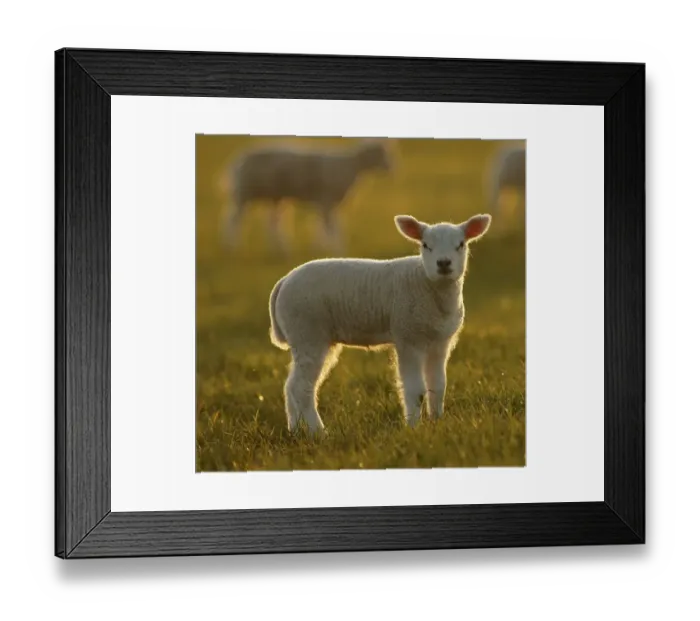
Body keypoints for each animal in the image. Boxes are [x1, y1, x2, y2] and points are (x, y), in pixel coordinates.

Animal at [220, 140, 393, 255]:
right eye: (379, 154)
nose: (390, 168)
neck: (351, 166)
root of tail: (237, 161)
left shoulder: (325, 203)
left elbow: (326, 226)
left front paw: (321, 248)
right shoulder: (326, 200)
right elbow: (332, 228)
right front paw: (338, 250)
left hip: (270, 196)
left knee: (272, 223)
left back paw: (279, 249)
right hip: (244, 193)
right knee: (233, 220)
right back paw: (231, 247)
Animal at [268, 212, 493, 435]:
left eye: (461, 244)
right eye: (425, 245)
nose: (443, 263)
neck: (426, 283)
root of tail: (284, 281)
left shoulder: (440, 343)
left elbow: (437, 386)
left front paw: (436, 422)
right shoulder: (408, 338)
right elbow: (416, 390)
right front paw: (413, 427)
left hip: (308, 338)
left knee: (290, 386)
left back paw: (295, 429)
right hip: (308, 333)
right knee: (301, 388)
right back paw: (319, 432)